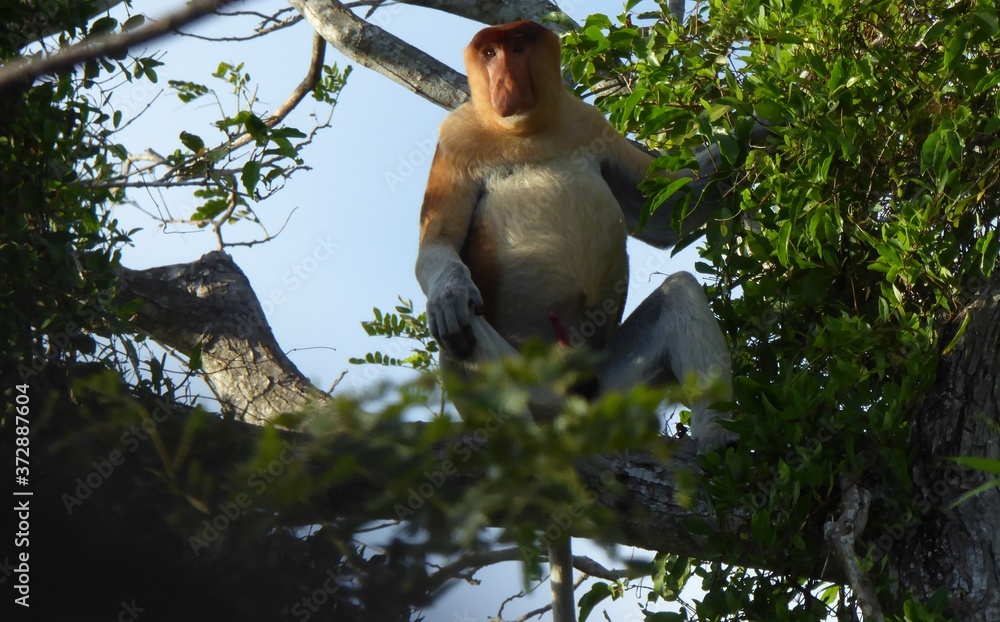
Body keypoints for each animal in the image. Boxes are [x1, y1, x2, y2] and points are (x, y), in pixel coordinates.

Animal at [415, 20, 738, 622]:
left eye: (518, 47)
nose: (504, 80)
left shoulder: (589, 122)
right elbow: (437, 247)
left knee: (681, 291)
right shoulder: (456, 139)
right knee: (458, 339)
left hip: (606, 394)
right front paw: (451, 293)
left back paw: (715, 439)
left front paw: (764, 131)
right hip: (537, 388)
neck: (526, 131)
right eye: (488, 52)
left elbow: (667, 211)